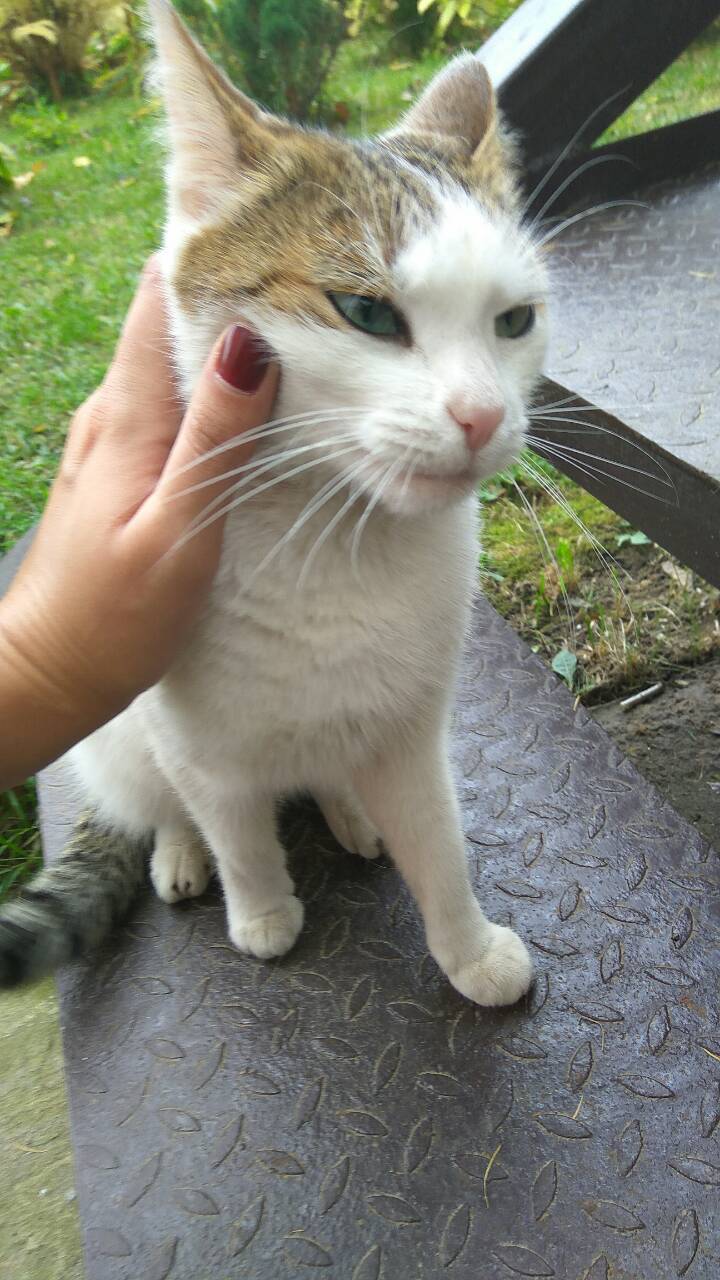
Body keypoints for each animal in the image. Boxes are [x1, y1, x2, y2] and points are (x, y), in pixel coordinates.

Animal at [0, 0, 545, 998]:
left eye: (515, 321)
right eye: (366, 313)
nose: (485, 415)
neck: (332, 541)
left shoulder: (414, 730)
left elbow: (438, 839)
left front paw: (468, 948)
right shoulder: (193, 741)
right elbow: (234, 827)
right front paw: (260, 911)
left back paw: (350, 811)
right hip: (114, 736)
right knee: (158, 804)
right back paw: (181, 854)